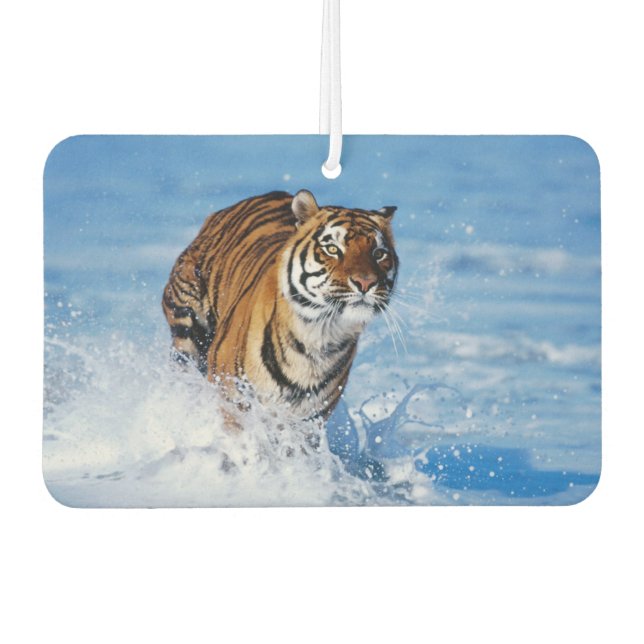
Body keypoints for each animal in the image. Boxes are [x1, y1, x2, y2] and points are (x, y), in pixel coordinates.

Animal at [162, 189, 398, 421]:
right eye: (332, 249)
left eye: (379, 253)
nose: (366, 282)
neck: (319, 337)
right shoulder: (233, 400)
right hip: (187, 329)